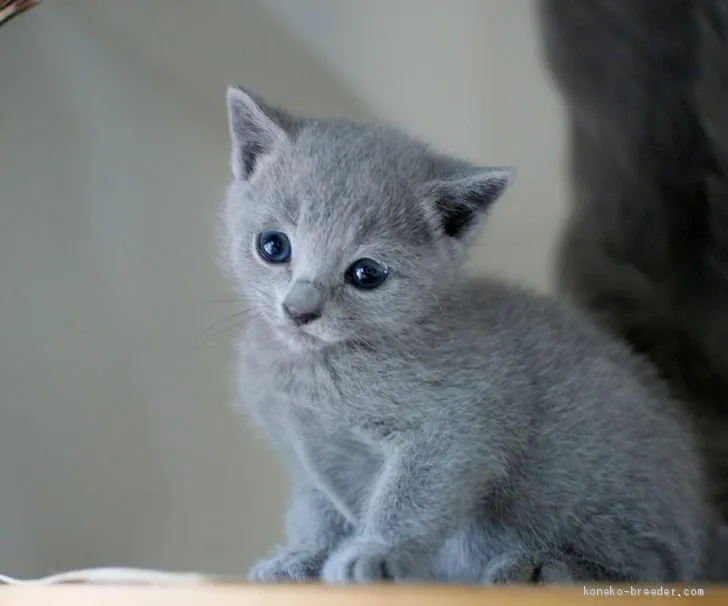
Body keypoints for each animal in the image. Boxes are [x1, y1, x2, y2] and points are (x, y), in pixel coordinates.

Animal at [225, 88, 720, 588]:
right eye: (273, 246)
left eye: (366, 274)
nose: (299, 310)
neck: (312, 367)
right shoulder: (305, 456)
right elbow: (317, 512)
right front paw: (302, 558)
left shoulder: (459, 421)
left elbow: (412, 495)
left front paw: (373, 553)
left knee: (658, 566)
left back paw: (543, 567)